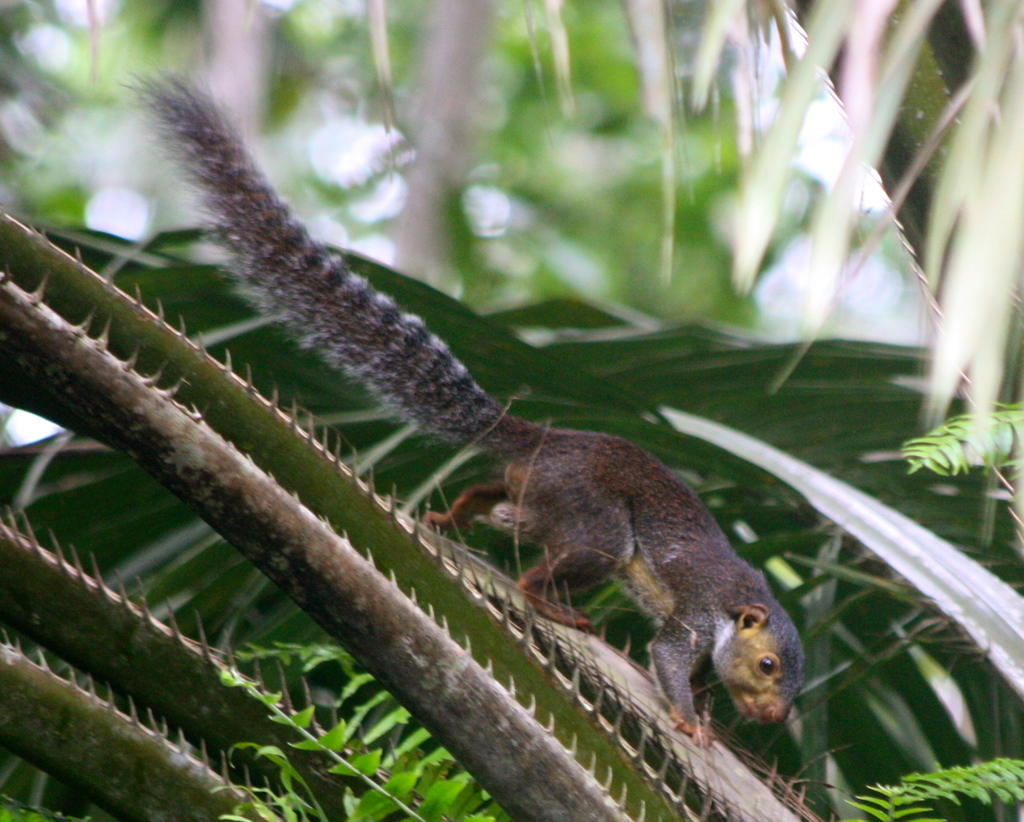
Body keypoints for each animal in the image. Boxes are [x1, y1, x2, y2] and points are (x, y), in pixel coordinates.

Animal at [143, 79, 804, 746]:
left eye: (794, 687)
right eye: (767, 665)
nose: (773, 716)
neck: (738, 608)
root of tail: (544, 439)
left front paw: (708, 710)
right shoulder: (696, 613)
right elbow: (668, 658)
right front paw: (688, 719)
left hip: (543, 495)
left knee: (496, 494)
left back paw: (454, 515)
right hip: (595, 521)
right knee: (544, 563)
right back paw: (547, 601)